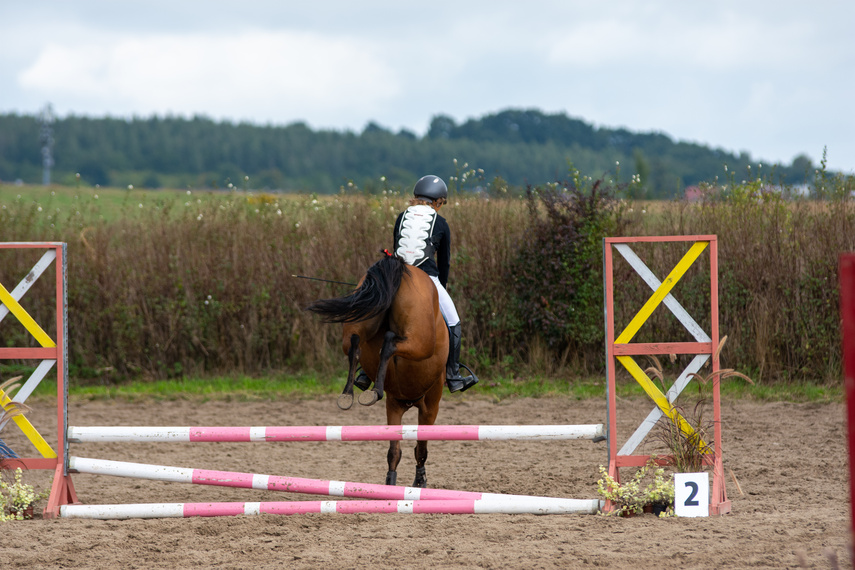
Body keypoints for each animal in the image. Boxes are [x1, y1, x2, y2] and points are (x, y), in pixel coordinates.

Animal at [306, 254, 448, 488]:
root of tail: (398, 264)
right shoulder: (429, 407)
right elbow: (420, 449)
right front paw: (420, 481)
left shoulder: (394, 406)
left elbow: (394, 451)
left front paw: (392, 481)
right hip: (419, 343)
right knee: (389, 342)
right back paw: (372, 391)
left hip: (361, 319)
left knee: (355, 343)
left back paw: (351, 394)